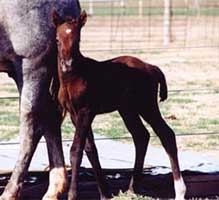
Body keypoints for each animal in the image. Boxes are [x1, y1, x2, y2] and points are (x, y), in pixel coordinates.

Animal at [51, 10, 186, 200]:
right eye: (57, 39)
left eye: (78, 40)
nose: (67, 65)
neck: (74, 78)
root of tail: (151, 67)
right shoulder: (74, 114)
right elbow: (90, 148)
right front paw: (104, 193)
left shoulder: (86, 111)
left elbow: (76, 149)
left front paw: (72, 194)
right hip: (127, 109)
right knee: (141, 136)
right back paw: (132, 188)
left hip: (146, 106)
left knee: (166, 134)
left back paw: (180, 191)